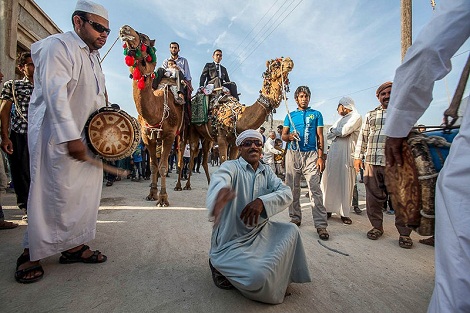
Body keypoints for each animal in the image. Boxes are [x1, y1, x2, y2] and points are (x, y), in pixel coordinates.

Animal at [119, 23, 184, 205]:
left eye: (145, 38)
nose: (125, 28)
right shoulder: (147, 135)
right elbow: (154, 165)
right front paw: (152, 194)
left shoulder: (169, 135)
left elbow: (163, 166)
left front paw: (163, 198)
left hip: (183, 134)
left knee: (182, 160)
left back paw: (181, 185)